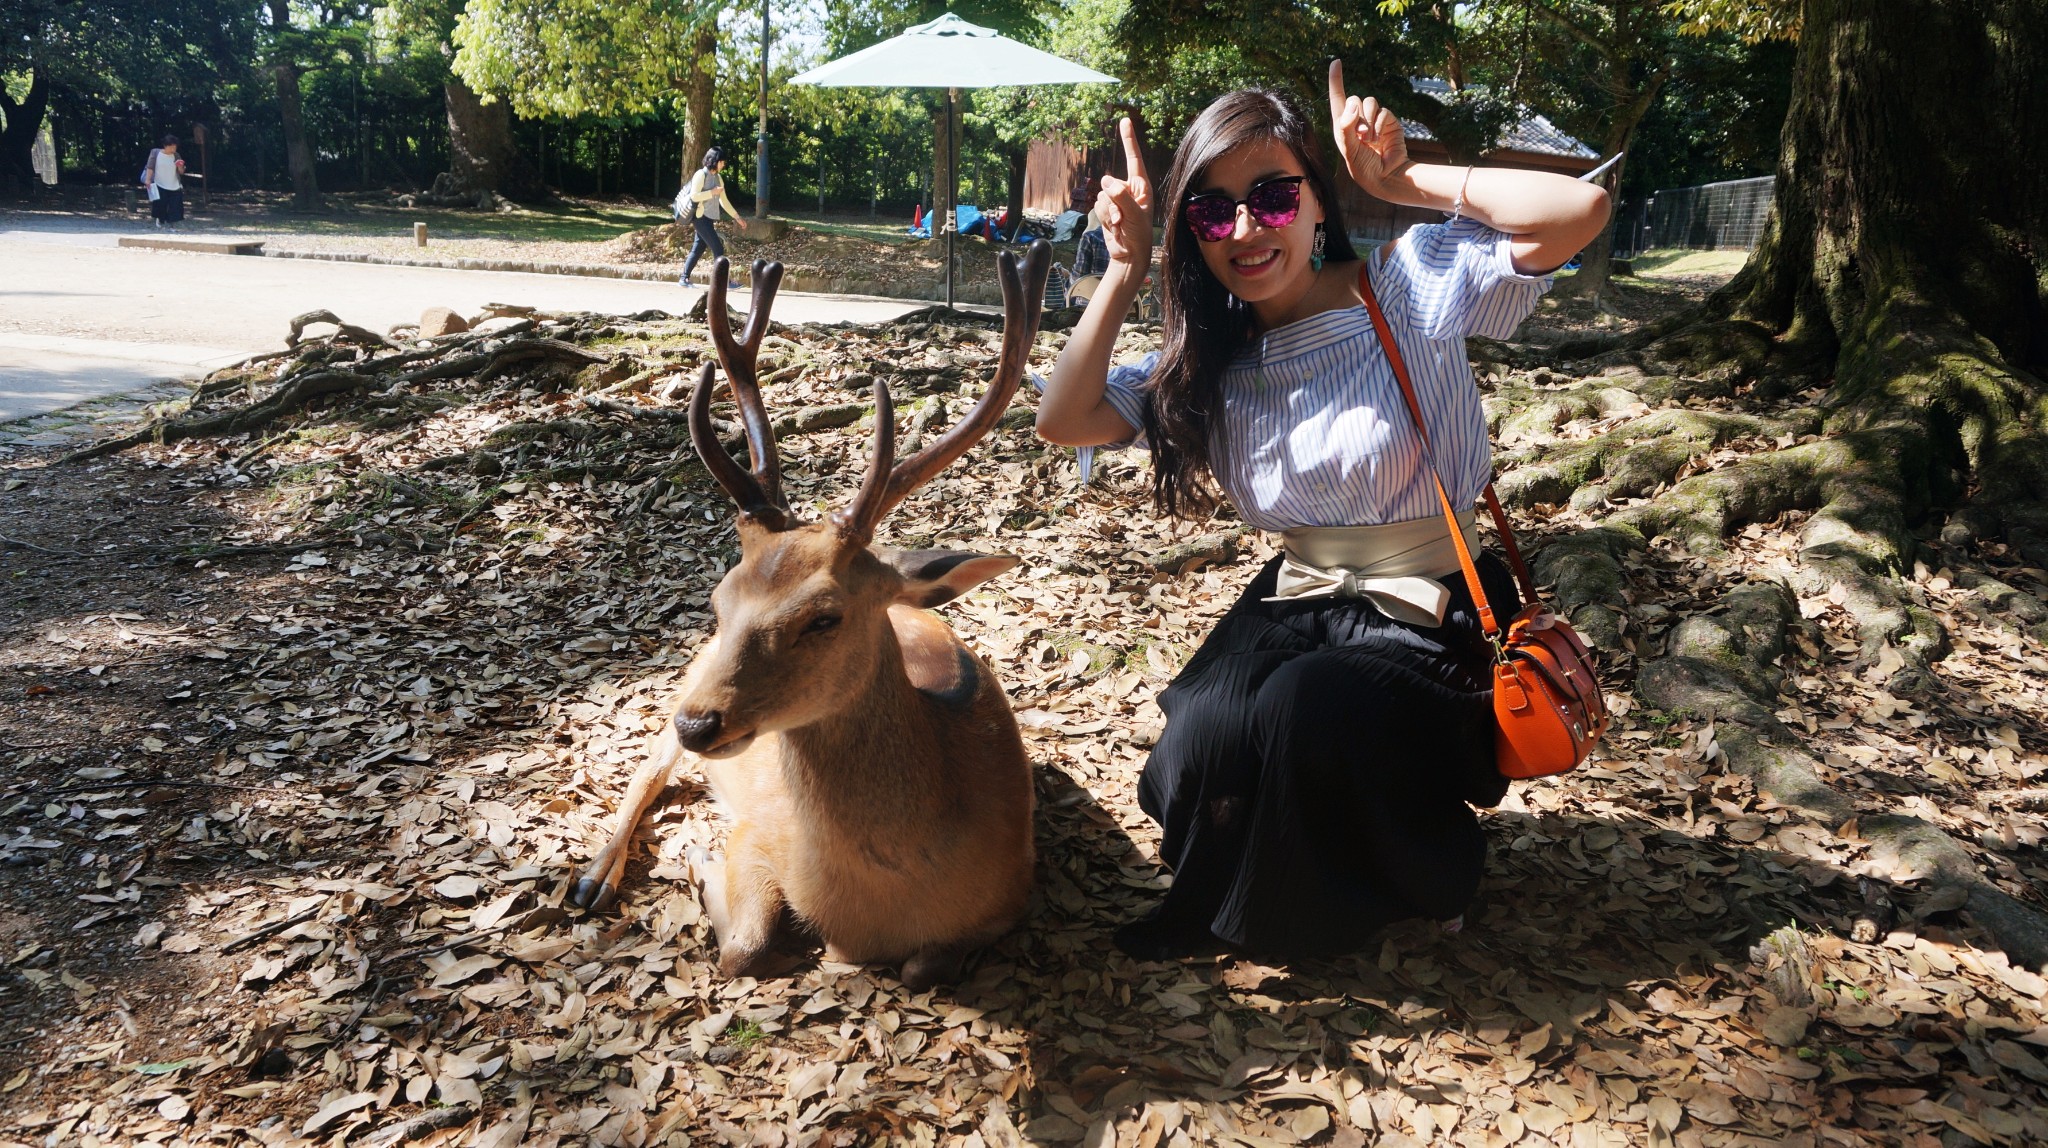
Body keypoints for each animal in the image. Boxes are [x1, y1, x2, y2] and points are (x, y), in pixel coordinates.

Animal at [573, 248, 1056, 986]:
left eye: (825, 618)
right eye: (718, 600)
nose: (700, 723)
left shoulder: (1013, 895)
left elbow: (922, 968)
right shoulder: (757, 831)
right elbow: (741, 947)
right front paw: (700, 862)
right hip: (682, 688)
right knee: (645, 768)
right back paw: (593, 879)